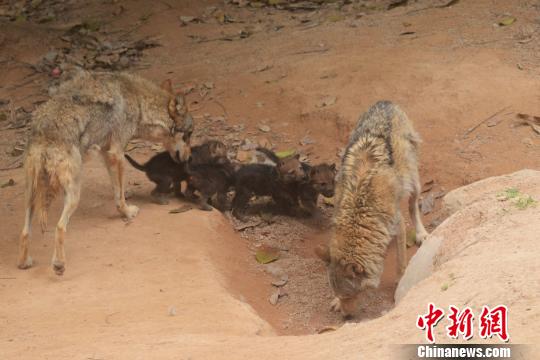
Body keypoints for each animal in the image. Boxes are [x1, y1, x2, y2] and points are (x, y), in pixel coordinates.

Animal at [314, 100, 428, 316]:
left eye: (352, 295)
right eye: (341, 295)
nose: (346, 316)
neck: (361, 207)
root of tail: (385, 102)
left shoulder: (398, 224)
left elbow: (401, 263)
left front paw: (401, 282)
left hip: (413, 182)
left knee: (413, 206)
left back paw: (421, 234)